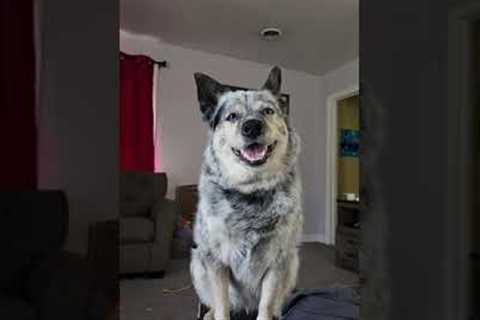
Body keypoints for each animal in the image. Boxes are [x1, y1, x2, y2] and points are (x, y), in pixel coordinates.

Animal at [189, 67, 302, 320]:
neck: (250, 192)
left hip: (293, 262)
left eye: (268, 111)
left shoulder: (277, 261)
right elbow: (222, 307)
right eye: (232, 116)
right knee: (214, 303)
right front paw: (217, 314)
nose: (251, 126)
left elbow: (266, 306)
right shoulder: (216, 261)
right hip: (197, 263)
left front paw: (270, 313)